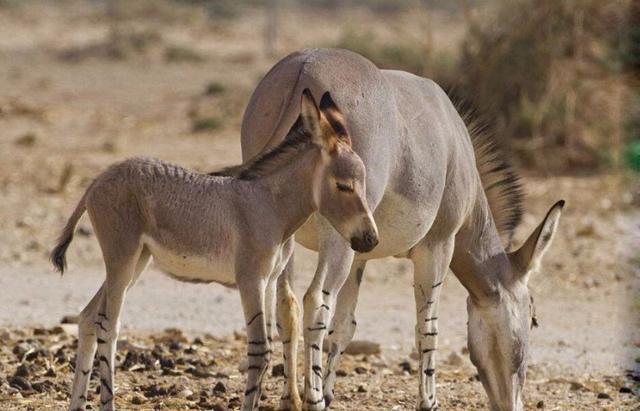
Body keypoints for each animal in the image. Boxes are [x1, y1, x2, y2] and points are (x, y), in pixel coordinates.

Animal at [53, 91, 380, 411]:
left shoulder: (269, 280)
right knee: (107, 325)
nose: (370, 240)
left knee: (88, 317)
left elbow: (269, 343)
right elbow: (259, 349)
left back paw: (77, 404)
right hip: (122, 257)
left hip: (136, 262)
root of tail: (98, 179)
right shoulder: (250, 279)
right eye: (344, 186)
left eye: (364, 185)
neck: (270, 205)